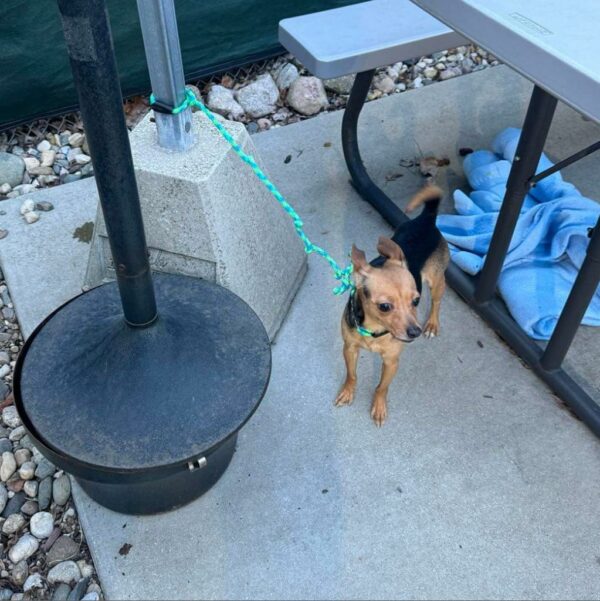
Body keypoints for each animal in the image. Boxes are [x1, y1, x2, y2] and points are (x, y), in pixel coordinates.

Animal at [336, 185, 448, 424]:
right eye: (385, 307)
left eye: (416, 301)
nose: (415, 332)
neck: (375, 331)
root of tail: (426, 219)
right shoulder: (349, 348)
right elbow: (352, 374)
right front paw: (348, 391)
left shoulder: (391, 362)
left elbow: (381, 388)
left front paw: (378, 406)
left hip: (437, 282)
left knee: (436, 302)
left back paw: (432, 324)